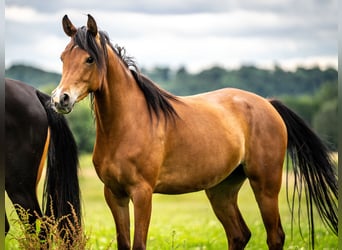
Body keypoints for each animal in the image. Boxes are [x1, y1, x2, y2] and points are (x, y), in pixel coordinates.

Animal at [52, 14, 338, 249]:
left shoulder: (142, 194)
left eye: (89, 59)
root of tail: (267, 104)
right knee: (239, 234)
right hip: (222, 190)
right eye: (63, 57)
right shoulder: (114, 194)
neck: (128, 125)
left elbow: (138, 244)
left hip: (266, 185)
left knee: (275, 236)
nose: (60, 99)